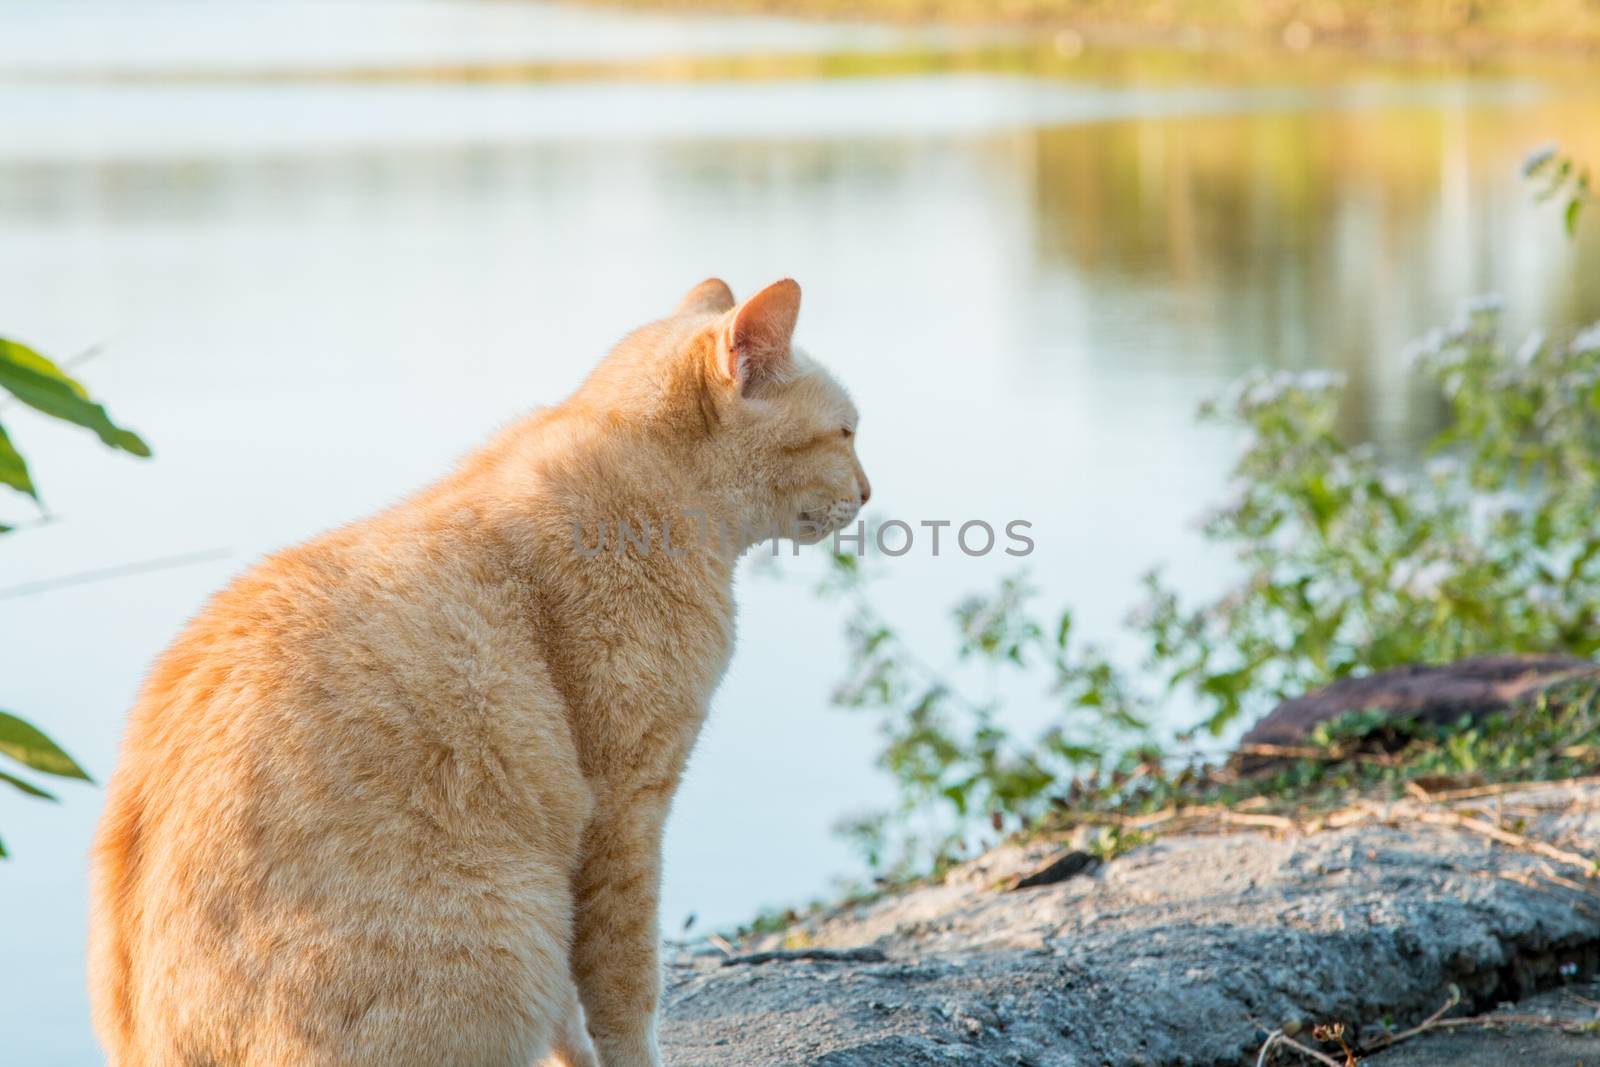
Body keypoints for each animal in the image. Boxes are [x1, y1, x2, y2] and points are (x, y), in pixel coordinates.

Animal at [87, 279, 870, 1062]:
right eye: (847, 433)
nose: (867, 492)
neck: (657, 488)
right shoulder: (624, 811)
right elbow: (626, 990)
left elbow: (571, 1015)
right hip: (506, 931)